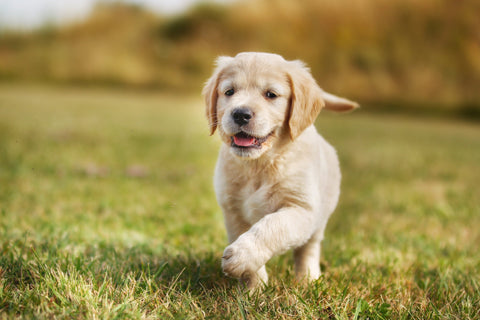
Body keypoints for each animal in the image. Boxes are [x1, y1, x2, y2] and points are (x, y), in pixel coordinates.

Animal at [202, 53, 356, 290]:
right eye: (229, 92)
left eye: (270, 94)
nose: (240, 114)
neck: (259, 164)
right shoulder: (233, 212)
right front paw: (254, 289)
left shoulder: (301, 209)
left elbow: (272, 226)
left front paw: (242, 256)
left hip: (320, 218)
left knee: (308, 249)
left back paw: (308, 279)